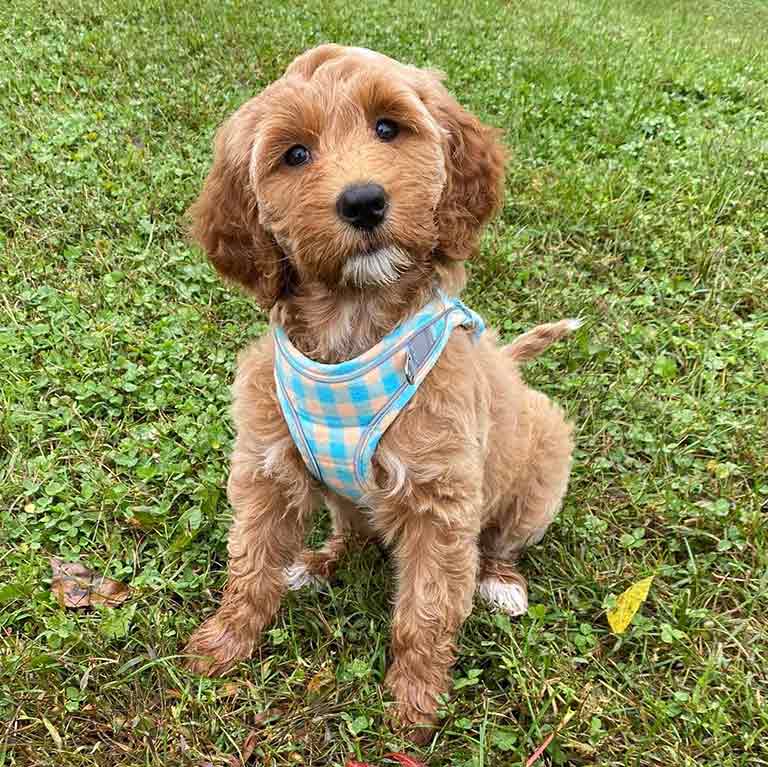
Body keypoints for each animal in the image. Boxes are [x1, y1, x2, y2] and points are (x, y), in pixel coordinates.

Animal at [183, 42, 572, 744]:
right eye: (295, 154)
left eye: (388, 127)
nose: (364, 202)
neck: (353, 321)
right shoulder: (267, 467)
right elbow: (249, 561)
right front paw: (225, 641)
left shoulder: (441, 502)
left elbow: (426, 610)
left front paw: (414, 706)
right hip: (344, 496)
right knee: (355, 534)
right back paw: (316, 562)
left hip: (540, 470)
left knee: (498, 541)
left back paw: (500, 580)